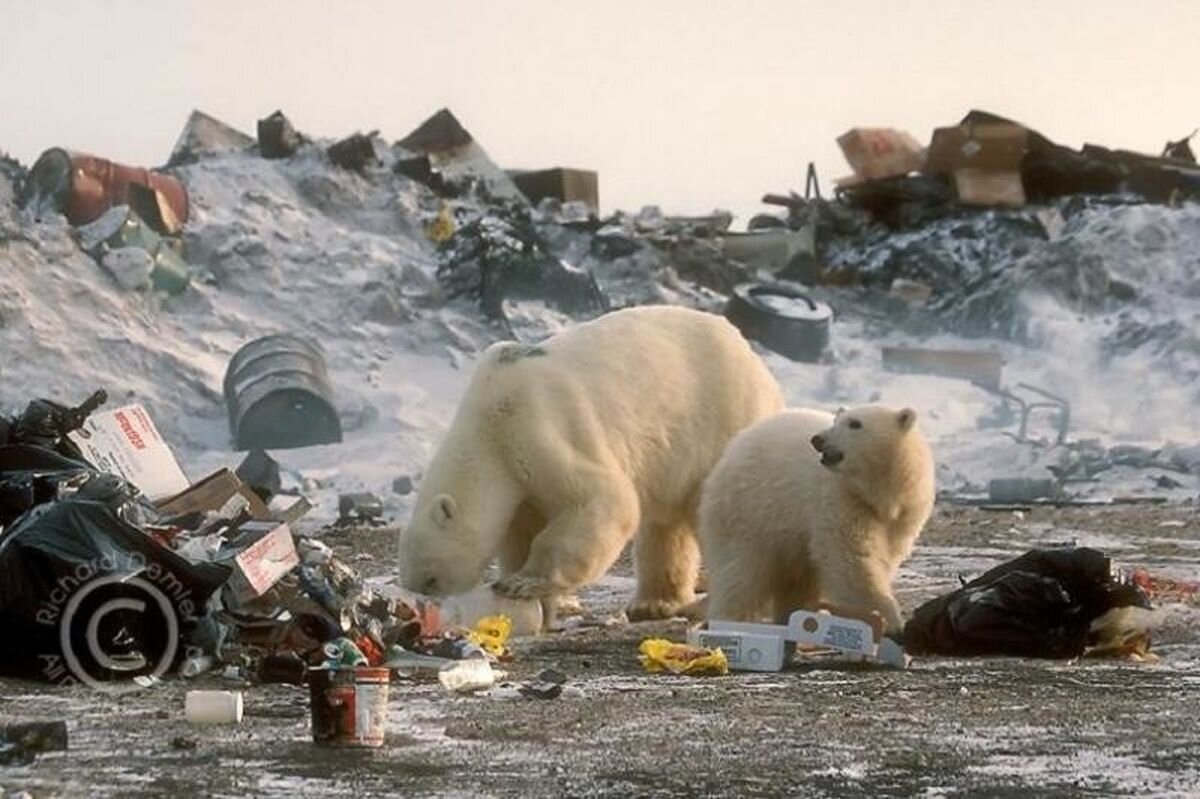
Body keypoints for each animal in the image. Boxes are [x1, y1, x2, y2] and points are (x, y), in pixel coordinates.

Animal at [398, 304, 782, 623]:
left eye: (430, 578)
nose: (425, 606)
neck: (488, 423)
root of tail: (757, 362)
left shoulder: (537, 430)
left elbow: (602, 499)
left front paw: (523, 584)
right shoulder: (518, 480)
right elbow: (522, 531)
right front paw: (542, 604)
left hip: (721, 422)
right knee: (665, 525)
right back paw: (654, 604)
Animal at [696, 405, 936, 633]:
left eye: (855, 423)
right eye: (836, 420)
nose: (818, 439)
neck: (879, 495)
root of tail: (727, 455)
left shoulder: (903, 515)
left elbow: (883, 555)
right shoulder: (841, 499)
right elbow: (852, 560)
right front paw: (889, 619)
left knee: (797, 580)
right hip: (749, 510)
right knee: (740, 571)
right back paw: (730, 619)